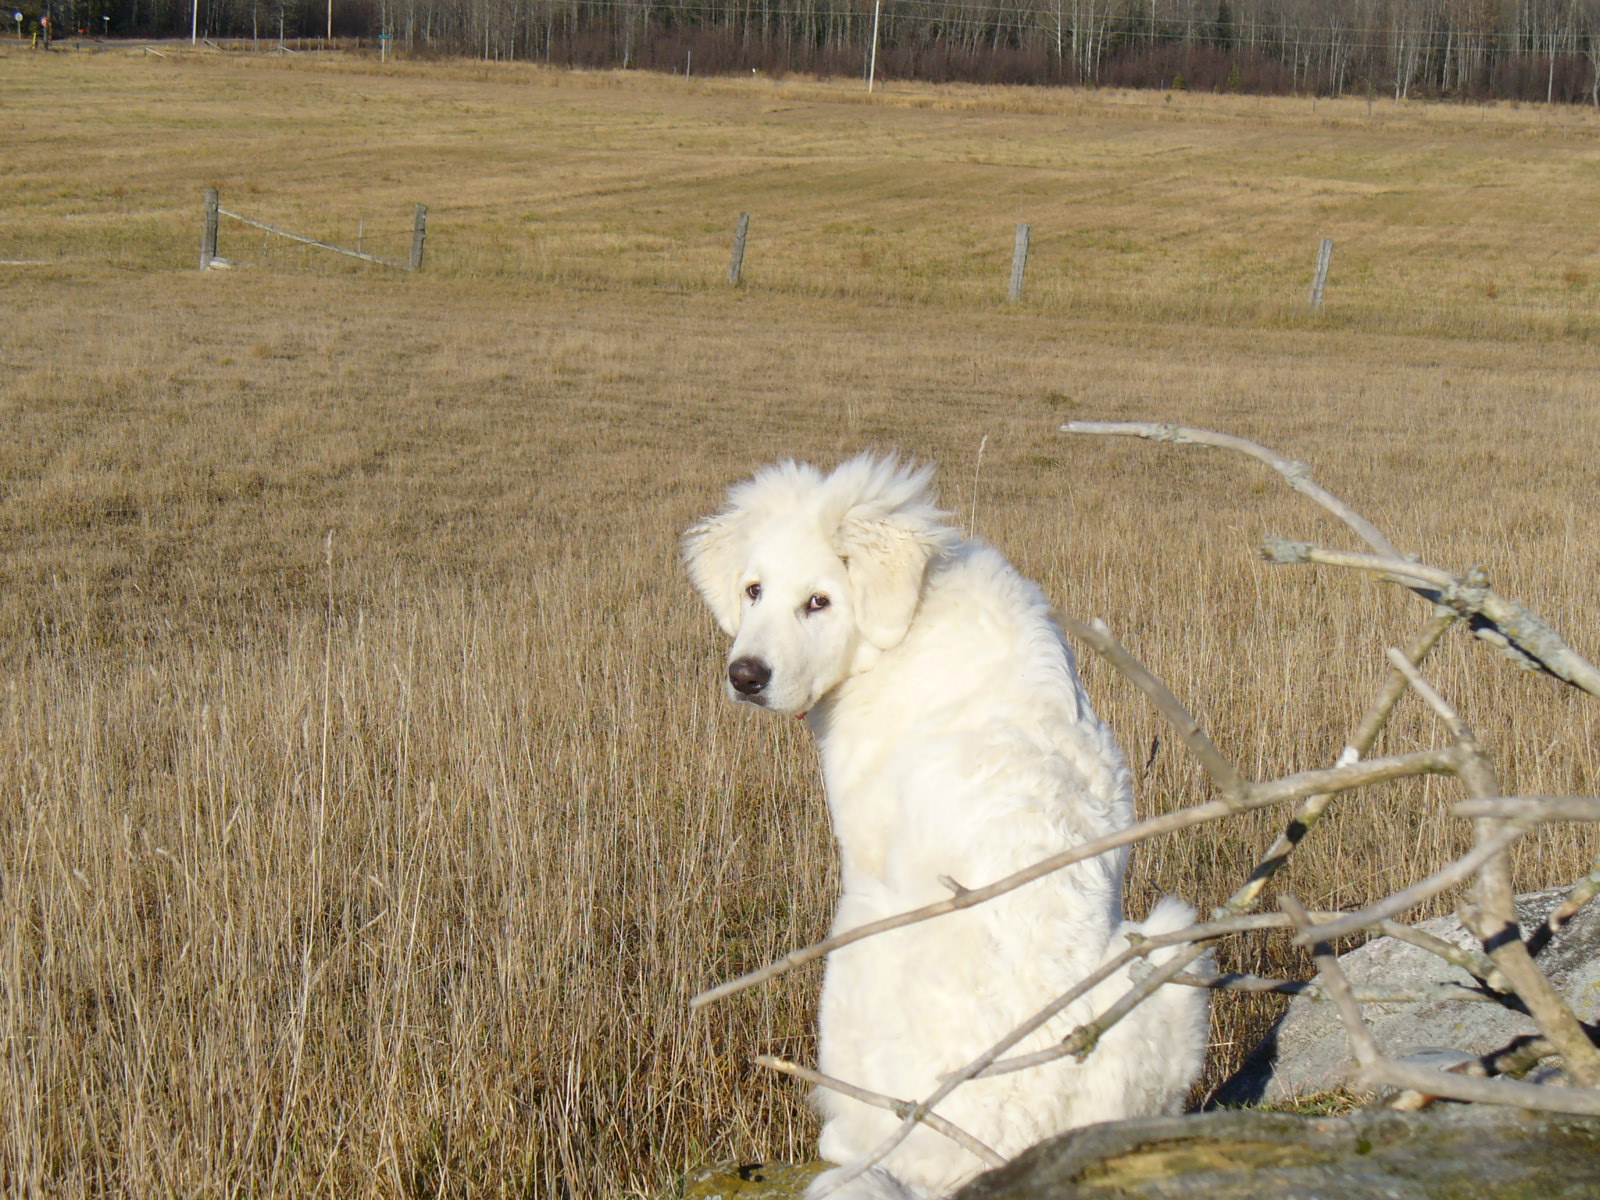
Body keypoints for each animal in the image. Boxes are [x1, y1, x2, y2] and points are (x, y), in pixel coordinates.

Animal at [681, 454, 1203, 1196]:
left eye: (819, 601)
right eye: (753, 590)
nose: (745, 676)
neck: (905, 625)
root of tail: (994, 1150)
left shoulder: (864, 861)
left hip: (855, 951)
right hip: (1168, 952)